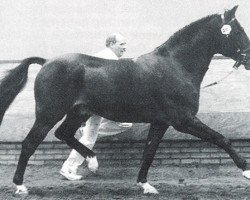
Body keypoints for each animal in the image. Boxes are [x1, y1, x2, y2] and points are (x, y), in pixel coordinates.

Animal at [0, 5, 250, 194]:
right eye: (237, 31)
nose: (248, 59)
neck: (176, 66)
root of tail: (46, 62)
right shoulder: (183, 120)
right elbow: (221, 139)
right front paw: (246, 171)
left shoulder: (161, 122)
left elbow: (149, 151)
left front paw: (145, 185)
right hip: (48, 114)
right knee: (30, 143)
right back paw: (21, 186)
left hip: (78, 112)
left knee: (64, 134)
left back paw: (91, 162)